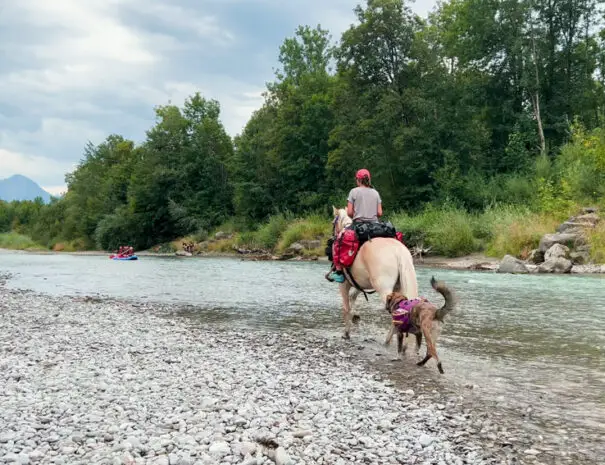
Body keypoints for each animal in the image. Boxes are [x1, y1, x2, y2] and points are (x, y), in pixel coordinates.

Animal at [330, 207, 416, 338]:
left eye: (332, 223)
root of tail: (398, 252)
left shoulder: (344, 284)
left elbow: (346, 307)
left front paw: (346, 332)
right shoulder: (360, 284)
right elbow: (353, 296)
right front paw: (355, 317)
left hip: (384, 289)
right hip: (399, 287)